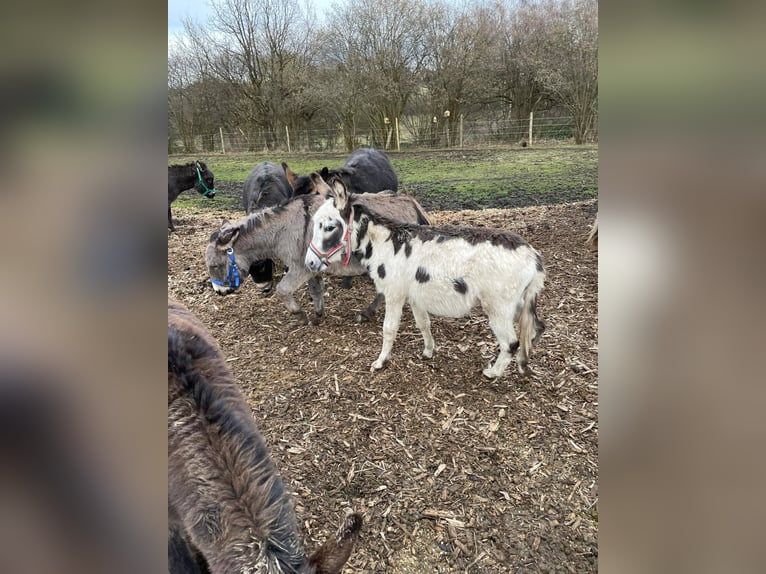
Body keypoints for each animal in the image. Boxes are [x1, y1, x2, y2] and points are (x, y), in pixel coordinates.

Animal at [306, 180, 544, 378]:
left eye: (329, 227)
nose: (310, 263)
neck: (385, 244)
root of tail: (533, 258)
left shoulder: (394, 294)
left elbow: (389, 329)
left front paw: (380, 362)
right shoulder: (415, 296)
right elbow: (423, 324)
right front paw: (428, 351)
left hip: (498, 307)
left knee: (511, 342)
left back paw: (493, 372)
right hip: (520, 303)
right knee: (536, 327)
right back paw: (523, 363)